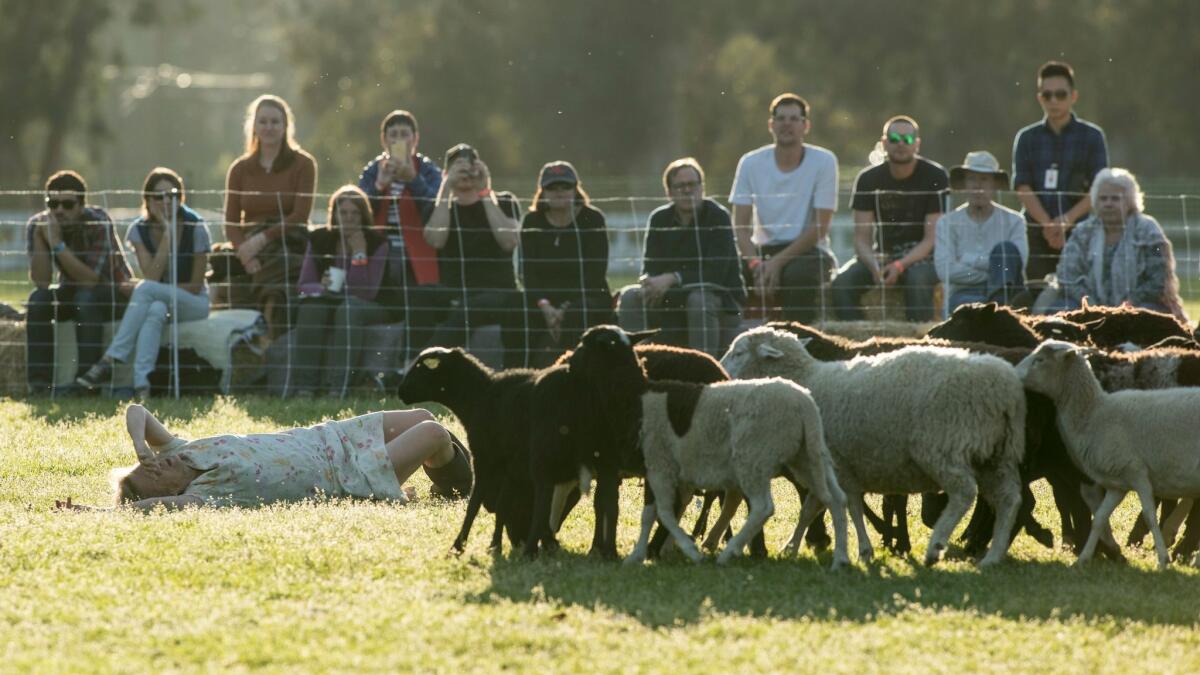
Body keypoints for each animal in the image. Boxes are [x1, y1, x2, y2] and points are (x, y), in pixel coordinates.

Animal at [628, 374, 854, 564]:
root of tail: (805, 403)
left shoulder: (659, 465)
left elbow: (661, 511)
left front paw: (653, 552)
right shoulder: (678, 474)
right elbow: (670, 509)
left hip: (754, 459)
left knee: (763, 507)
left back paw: (729, 552)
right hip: (808, 457)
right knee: (835, 499)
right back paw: (840, 558)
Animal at [715, 326, 1027, 562]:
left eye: (738, 352)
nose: (720, 370)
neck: (808, 379)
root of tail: (1005, 389)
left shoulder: (839, 463)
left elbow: (847, 506)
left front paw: (862, 549)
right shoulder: (835, 466)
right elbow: (814, 509)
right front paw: (792, 547)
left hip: (943, 446)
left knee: (964, 493)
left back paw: (936, 546)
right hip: (995, 455)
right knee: (1010, 499)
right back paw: (993, 556)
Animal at [1017, 338, 1200, 564]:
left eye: (1040, 360)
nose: (1013, 371)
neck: (1095, 412)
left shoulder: (1138, 473)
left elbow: (1149, 516)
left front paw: (1163, 559)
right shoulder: (1117, 484)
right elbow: (1100, 518)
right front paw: (1084, 558)